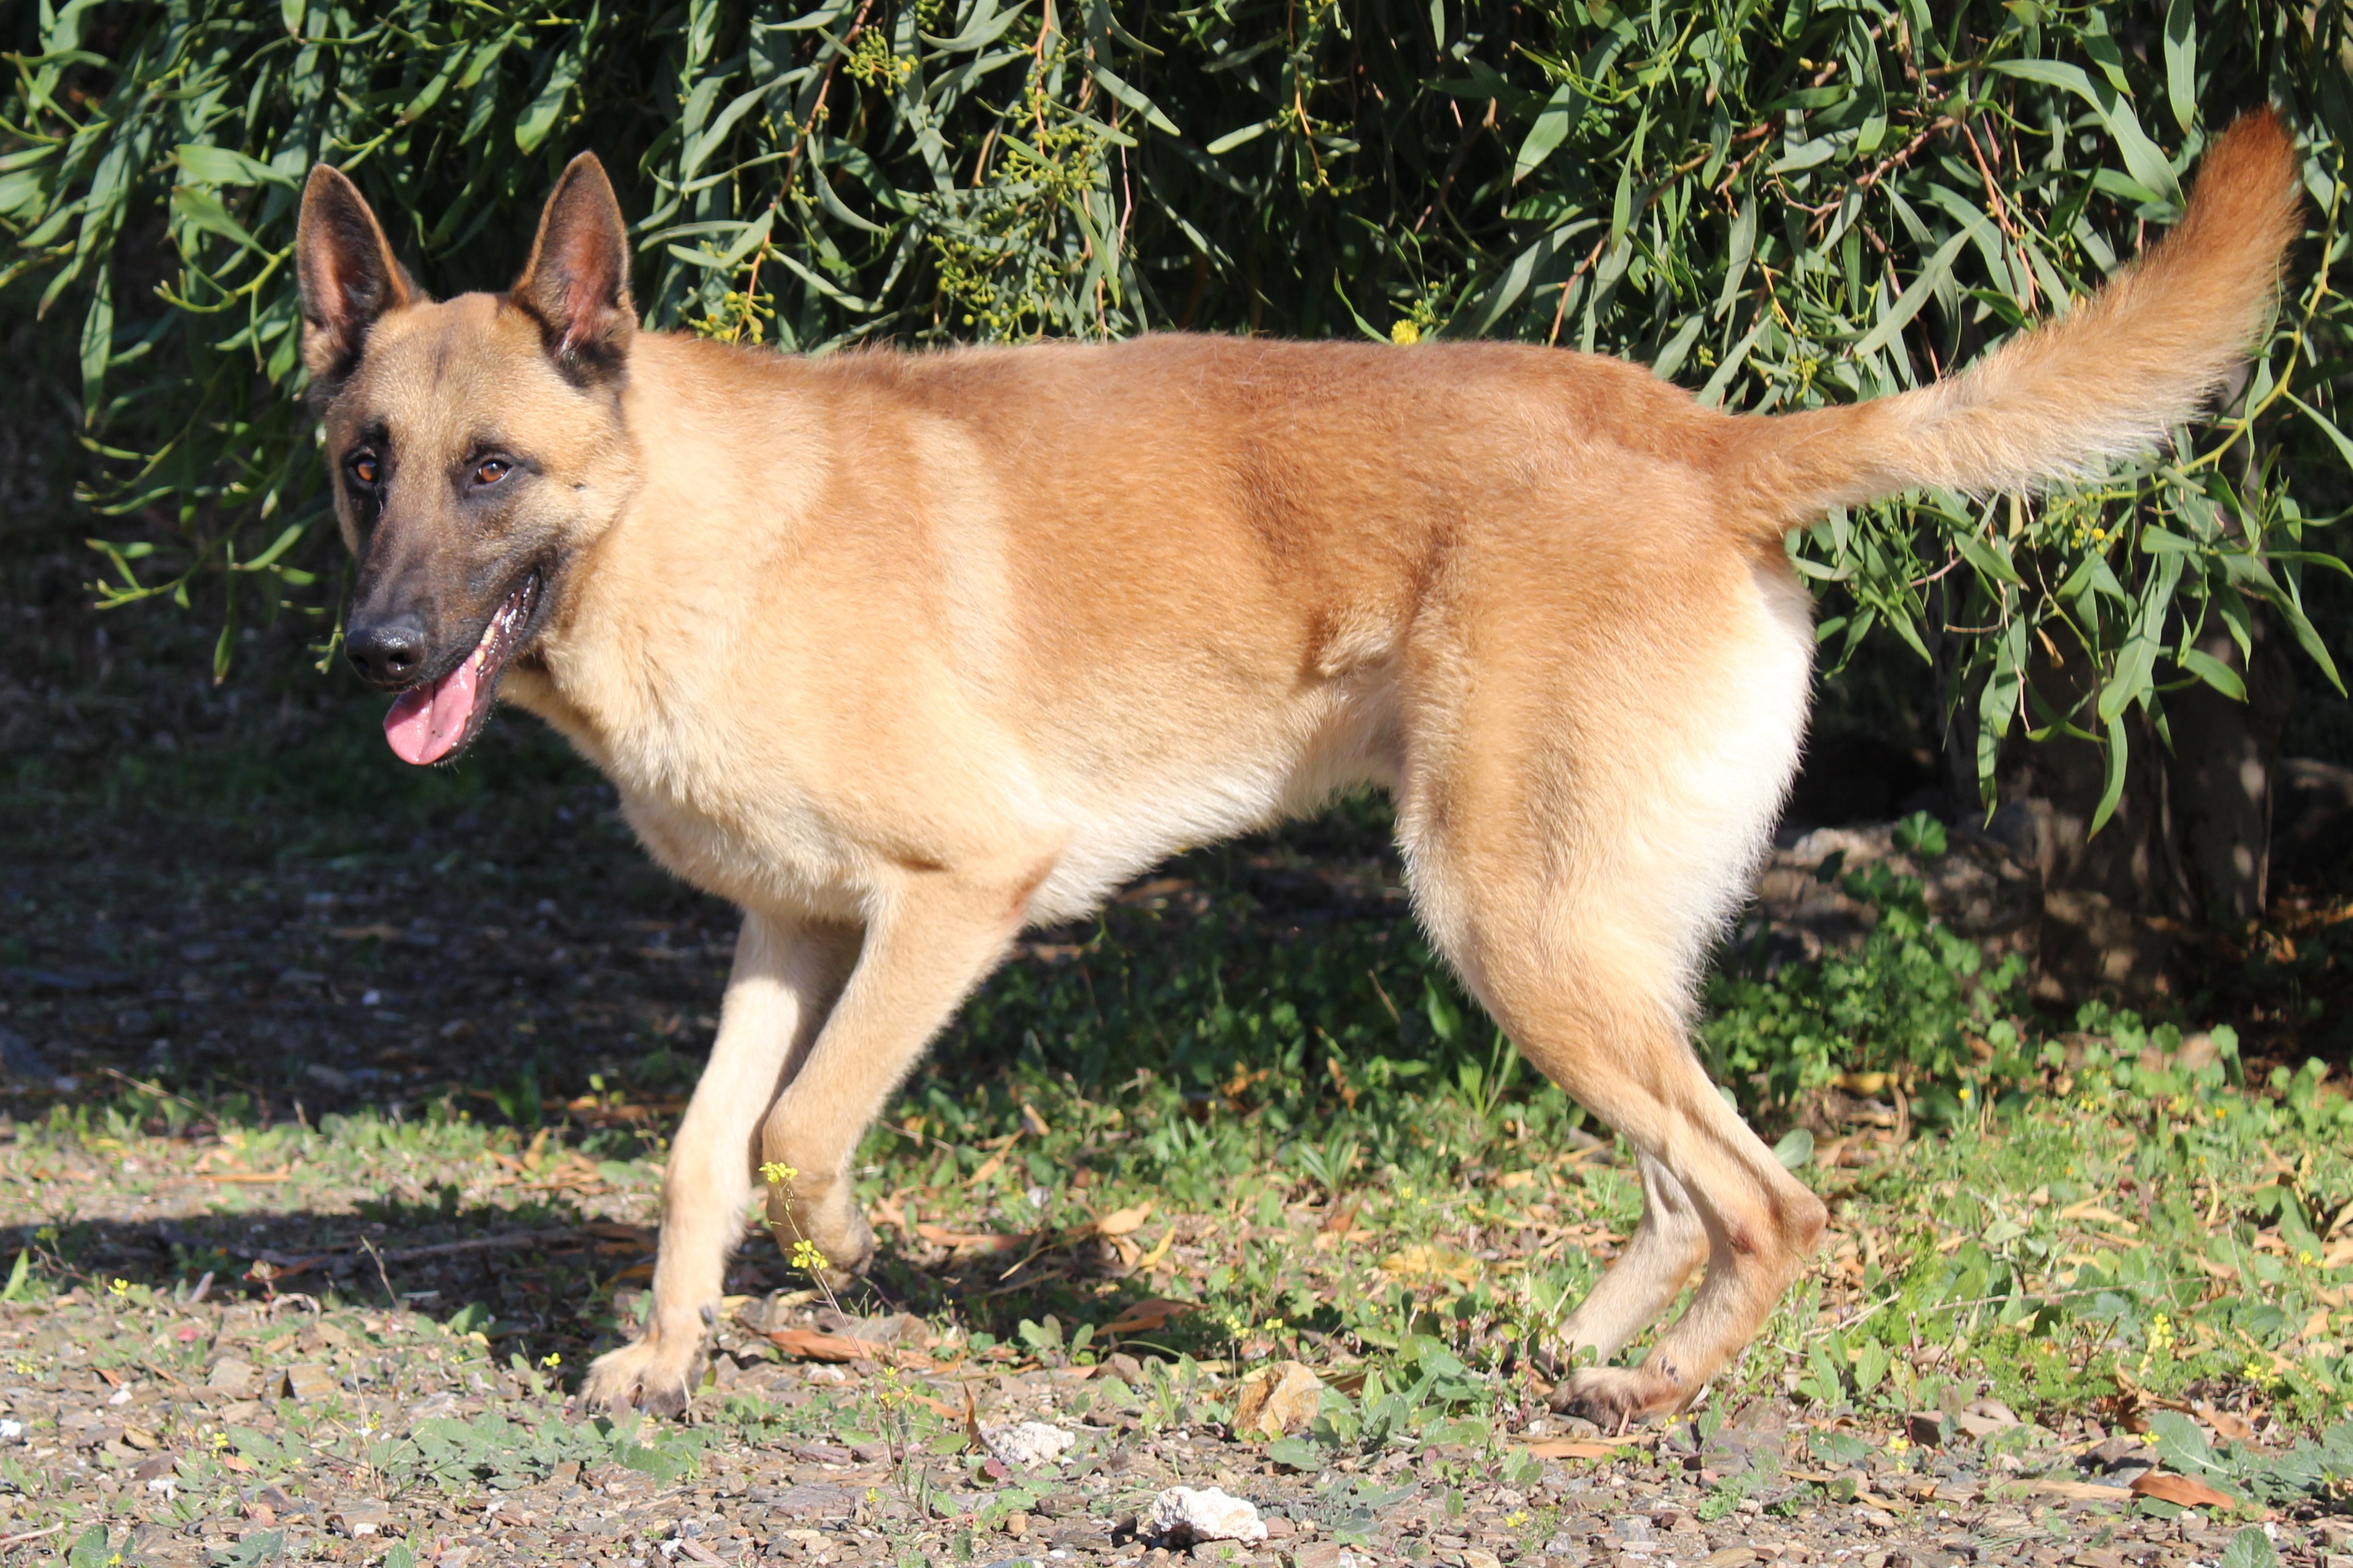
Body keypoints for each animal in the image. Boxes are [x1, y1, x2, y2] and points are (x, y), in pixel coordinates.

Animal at [289, 110, 2296, 1412]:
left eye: (494, 471)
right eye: (365, 465)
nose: (374, 656)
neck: (672, 524)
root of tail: (1707, 439)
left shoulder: (961, 894)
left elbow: (799, 1138)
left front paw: (850, 1255)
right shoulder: (790, 932)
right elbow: (708, 1155)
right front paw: (666, 1350)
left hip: (1508, 923)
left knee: (1773, 1199)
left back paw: (1654, 1399)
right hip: (1572, 946)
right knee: (1692, 1181)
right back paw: (1587, 1356)